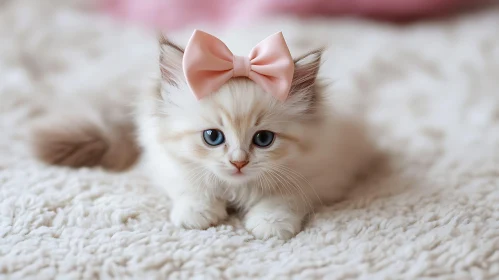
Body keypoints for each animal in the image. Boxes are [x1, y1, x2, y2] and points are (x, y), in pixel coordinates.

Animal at [134, 37, 376, 241]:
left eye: (263, 139)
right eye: (212, 137)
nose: (239, 162)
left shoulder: (323, 174)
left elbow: (284, 196)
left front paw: (271, 223)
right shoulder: (165, 161)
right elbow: (191, 185)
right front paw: (196, 213)